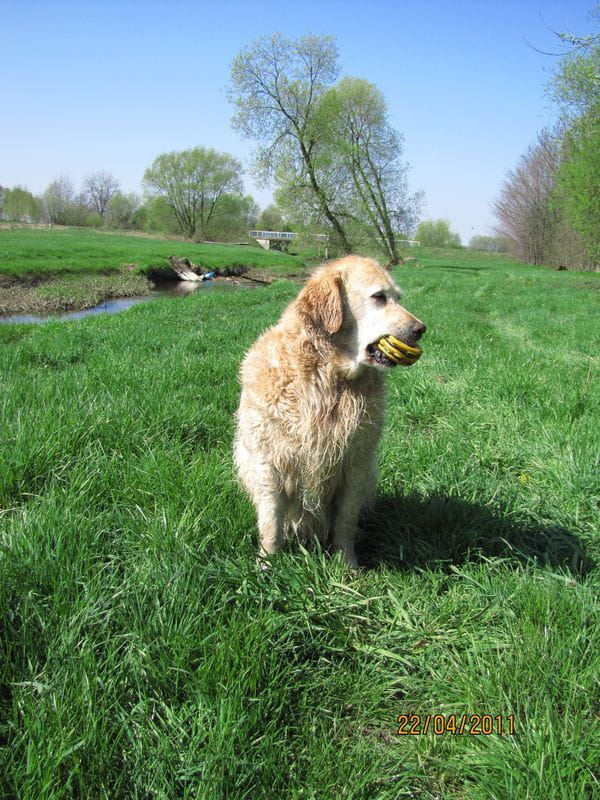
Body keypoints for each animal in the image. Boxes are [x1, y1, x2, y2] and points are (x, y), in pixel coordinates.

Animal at [232, 256, 424, 568]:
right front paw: (266, 566)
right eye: (379, 297)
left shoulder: (357, 463)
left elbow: (345, 521)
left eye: (398, 298)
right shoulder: (268, 463)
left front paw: (347, 564)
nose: (421, 329)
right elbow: (271, 524)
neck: (327, 376)